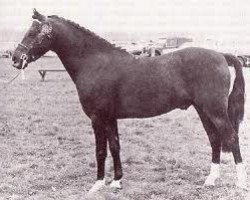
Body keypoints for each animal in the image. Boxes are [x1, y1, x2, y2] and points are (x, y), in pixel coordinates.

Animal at [11, 9, 246, 192]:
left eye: (32, 32)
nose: (15, 58)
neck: (94, 62)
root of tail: (221, 55)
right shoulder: (110, 117)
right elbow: (115, 146)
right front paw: (116, 181)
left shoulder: (97, 117)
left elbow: (100, 150)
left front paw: (97, 185)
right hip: (203, 109)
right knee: (214, 139)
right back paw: (211, 180)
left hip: (215, 110)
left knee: (231, 137)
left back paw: (241, 182)